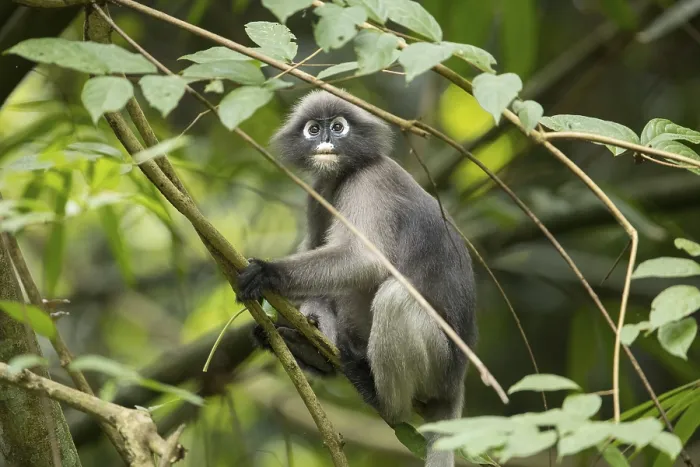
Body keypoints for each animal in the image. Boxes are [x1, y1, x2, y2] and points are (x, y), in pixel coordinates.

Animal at [237, 90, 477, 467]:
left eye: (338, 127)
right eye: (314, 129)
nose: (325, 140)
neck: (344, 173)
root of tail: (457, 381)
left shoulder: (370, 182)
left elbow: (366, 260)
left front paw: (268, 273)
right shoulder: (319, 189)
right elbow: (315, 247)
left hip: (439, 365)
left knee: (394, 297)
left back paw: (382, 400)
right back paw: (309, 351)